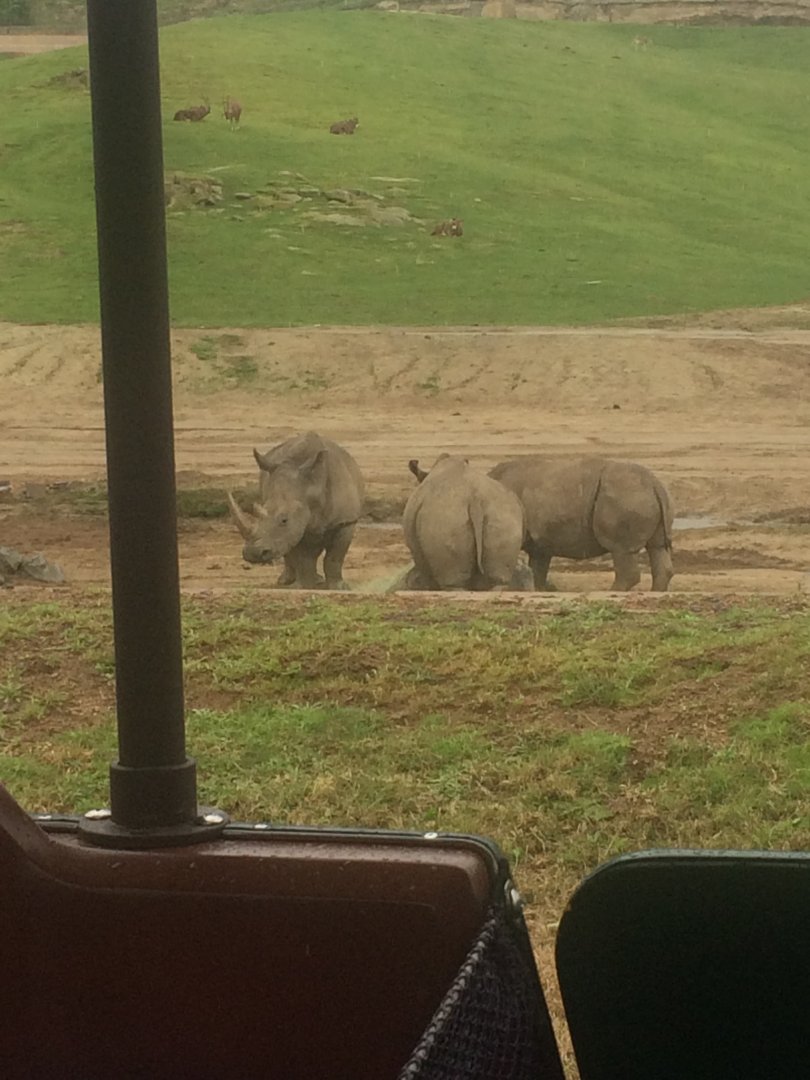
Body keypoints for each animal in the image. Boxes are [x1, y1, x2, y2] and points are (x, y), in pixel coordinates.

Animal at [227, 432, 364, 589]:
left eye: (284, 520)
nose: (253, 553)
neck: (311, 490)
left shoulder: (345, 521)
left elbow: (335, 557)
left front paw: (339, 587)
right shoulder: (297, 525)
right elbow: (302, 557)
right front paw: (304, 586)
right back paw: (288, 581)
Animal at [489, 455, 674, 592]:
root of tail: (655, 484)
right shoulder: (540, 545)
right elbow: (538, 568)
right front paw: (539, 590)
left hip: (626, 496)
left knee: (621, 550)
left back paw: (611, 592)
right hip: (639, 495)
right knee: (657, 548)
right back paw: (656, 592)